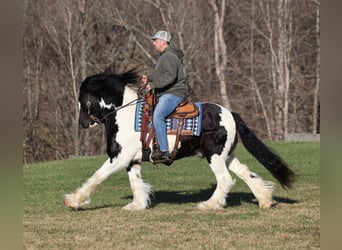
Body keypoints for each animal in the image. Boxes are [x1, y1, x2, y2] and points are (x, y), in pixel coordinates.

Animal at [65, 68, 296, 211]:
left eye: (83, 99)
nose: (82, 123)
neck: (124, 115)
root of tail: (231, 114)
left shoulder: (119, 157)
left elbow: (97, 176)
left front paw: (74, 200)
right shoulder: (132, 160)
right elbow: (135, 182)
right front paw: (137, 205)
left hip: (214, 156)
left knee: (225, 179)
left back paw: (209, 204)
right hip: (226, 156)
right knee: (246, 173)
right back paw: (265, 200)